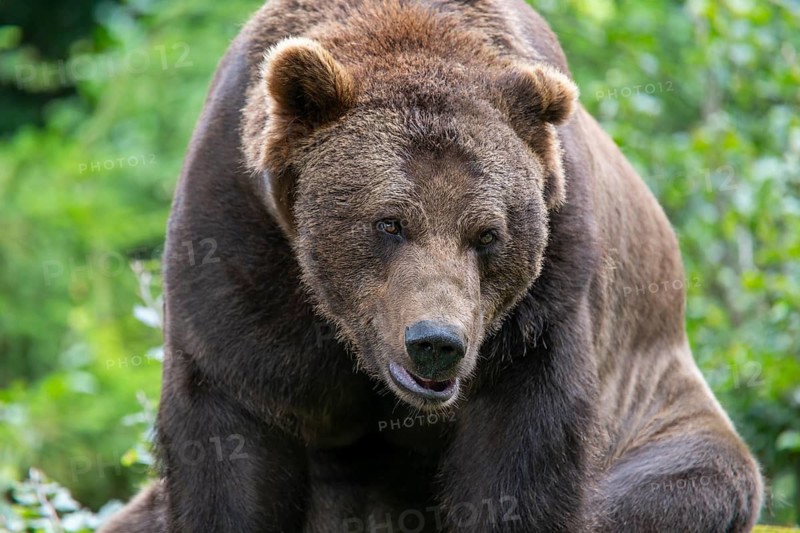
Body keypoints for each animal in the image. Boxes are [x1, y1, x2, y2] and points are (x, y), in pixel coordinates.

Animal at [99, 0, 763, 531]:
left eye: (487, 234)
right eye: (389, 223)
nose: (436, 343)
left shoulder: (542, 302)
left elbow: (520, 461)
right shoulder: (239, 241)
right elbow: (232, 437)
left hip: (660, 416)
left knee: (684, 486)